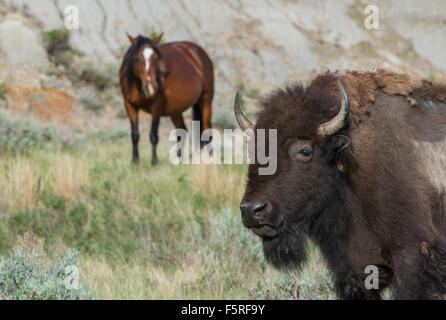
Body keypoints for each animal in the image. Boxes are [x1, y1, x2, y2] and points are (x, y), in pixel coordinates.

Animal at [119, 33, 213, 165]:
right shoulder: (129, 106)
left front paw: (154, 161)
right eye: (138, 58)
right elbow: (135, 135)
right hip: (175, 110)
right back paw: (179, 160)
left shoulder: (156, 108)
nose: (151, 87)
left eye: (156, 58)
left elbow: (153, 135)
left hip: (205, 101)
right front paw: (135, 161)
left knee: (206, 129)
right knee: (182, 131)